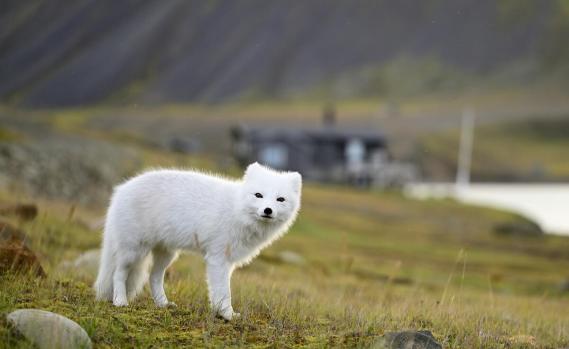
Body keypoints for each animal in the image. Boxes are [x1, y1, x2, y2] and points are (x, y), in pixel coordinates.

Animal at [94, 162, 302, 320]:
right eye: (258, 195)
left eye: (280, 199)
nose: (268, 210)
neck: (237, 210)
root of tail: (121, 190)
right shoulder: (217, 258)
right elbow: (223, 291)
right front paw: (227, 315)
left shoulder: (227, 262)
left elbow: (219, 291)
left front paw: (221, 313)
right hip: (133, 250)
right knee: (118, 273)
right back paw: (120, 301)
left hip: (167, 254)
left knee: (153, 277)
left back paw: (163, 304)